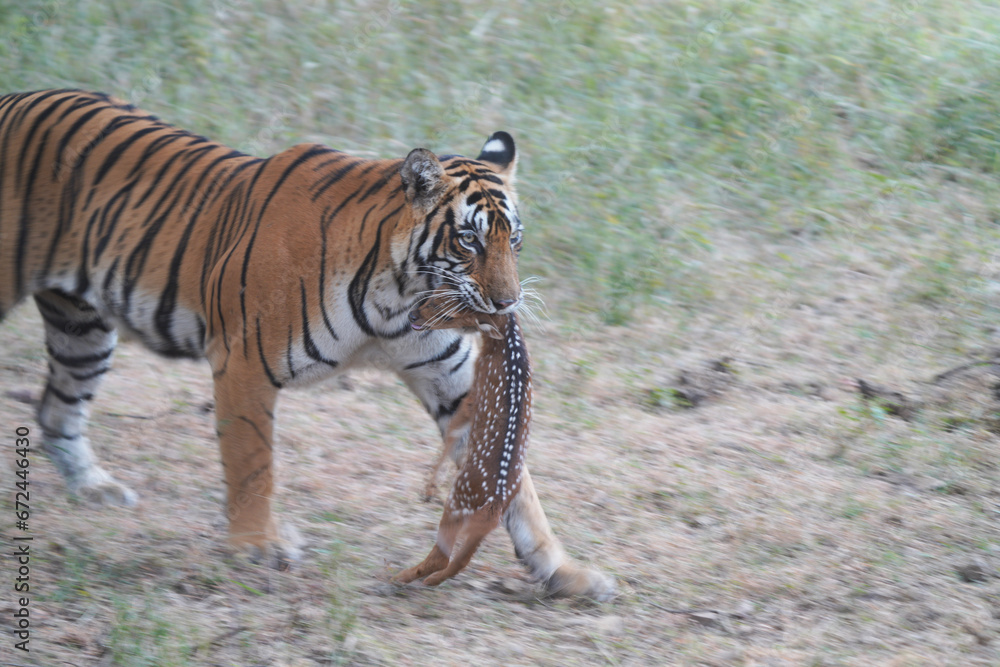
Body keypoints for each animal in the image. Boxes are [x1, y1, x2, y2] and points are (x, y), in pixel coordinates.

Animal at [0, 89, 614, 600]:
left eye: (515, 239)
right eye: (468, 240)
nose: (507, 304)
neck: (397, 299)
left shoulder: (451, 379)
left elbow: (513, 482)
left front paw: (566, 571)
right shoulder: (243, 362)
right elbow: (252, 463)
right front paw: (257, 545)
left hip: (83, 329)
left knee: (58, 410)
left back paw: (96, 489)